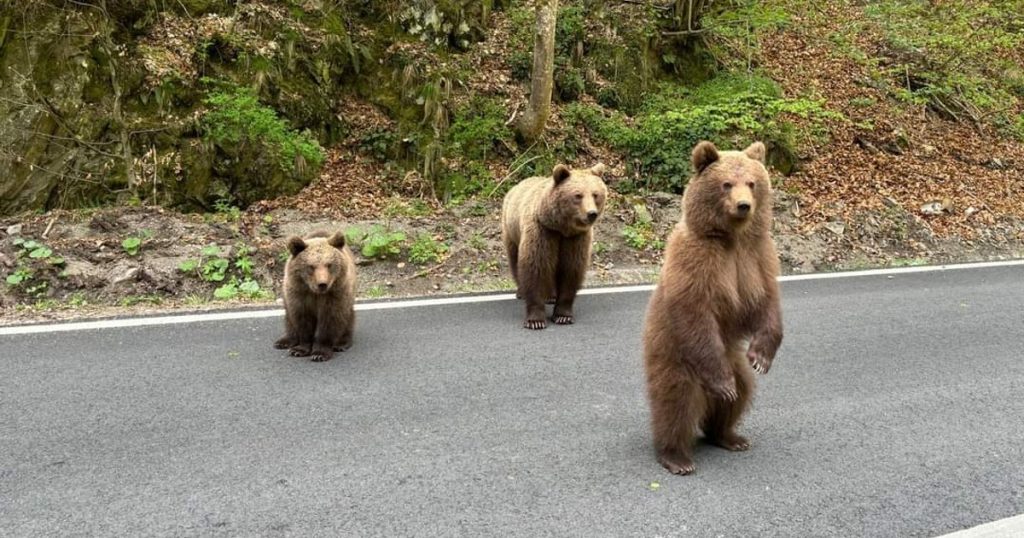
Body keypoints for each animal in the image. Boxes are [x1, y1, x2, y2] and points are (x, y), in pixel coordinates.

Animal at [273, 230, 356, 362]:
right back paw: (284, 341)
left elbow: (330, 320)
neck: (315, 292)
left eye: (329, 264)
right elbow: (302, 320)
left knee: (346, 317)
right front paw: (299, 349)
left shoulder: (334, 296)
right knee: (289, 318)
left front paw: (319, 353)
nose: (322, 284)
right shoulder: (300, 295)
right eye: (311, 266)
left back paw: (341, 343)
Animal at [501, 163, 608, 330]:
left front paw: (563, 316)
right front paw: (535, 320)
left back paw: (551, 296)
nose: (591, 213)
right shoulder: (542, 231)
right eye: (578, 195)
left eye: (595, 194)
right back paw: (522, 292)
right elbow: (535, 267)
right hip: (511, 230)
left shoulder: (575, 238)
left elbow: (571, 270)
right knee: (515, 259)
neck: (561, 228)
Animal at [642, 140, 783, 475]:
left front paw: (762, 357)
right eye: (726, 184)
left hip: (733, 359)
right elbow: (694, 311)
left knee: (742, 392)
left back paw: (729, 436)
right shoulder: (697, 260)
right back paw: (676, 457)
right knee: (676, 400)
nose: (744, 205)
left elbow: (767, 302)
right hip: (675, 355)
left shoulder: (756, 257)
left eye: (752, 183)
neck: (731, 238)